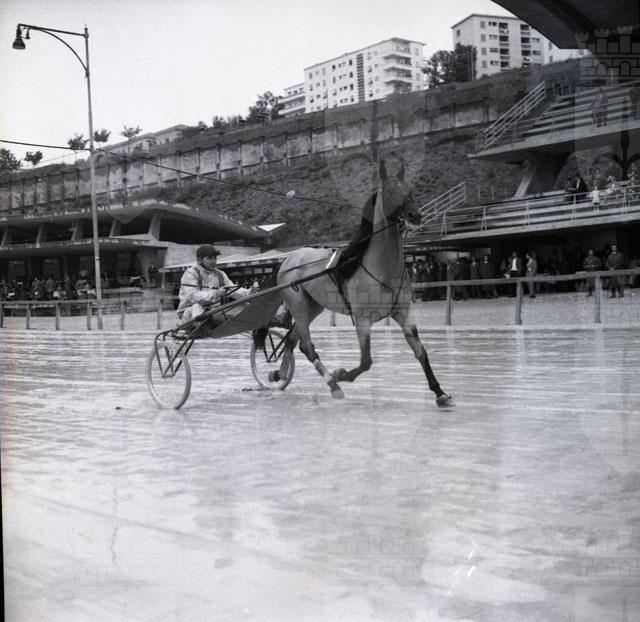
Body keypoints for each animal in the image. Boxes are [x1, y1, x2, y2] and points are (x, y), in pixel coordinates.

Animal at [276, 159, 454, 409]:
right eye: (389, 191)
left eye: (409, 189)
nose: (415, 215)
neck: (382, 268)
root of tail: (288, 260)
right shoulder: (361, 320)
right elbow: (366, 362)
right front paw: (341, 374)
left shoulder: (403, 313)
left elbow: (420, 352)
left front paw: (439, 392)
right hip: (298, 305)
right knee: (307, 346)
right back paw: (333, 384)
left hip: (313, 306)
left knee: (294, 341)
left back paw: (282, 374)